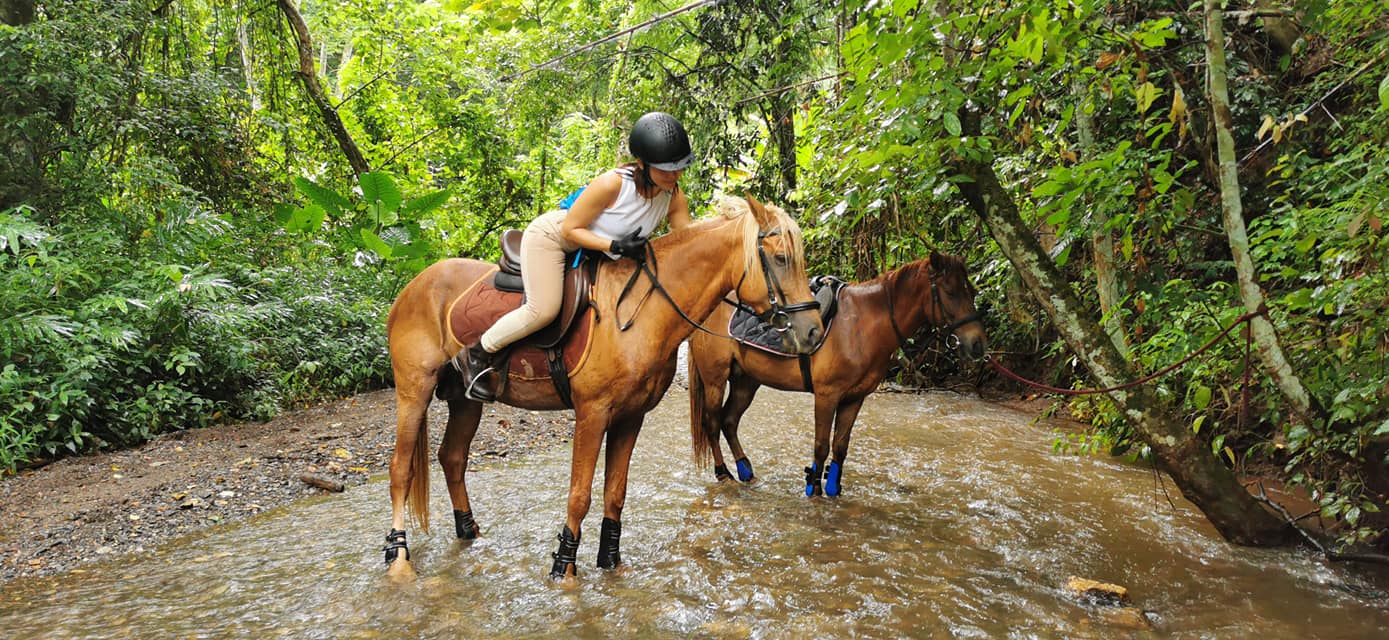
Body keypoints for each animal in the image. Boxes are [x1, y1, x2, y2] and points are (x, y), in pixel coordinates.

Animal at [383, 195, 823, 581]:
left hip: (465, 399)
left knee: (452, 457)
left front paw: (610, 563)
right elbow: (580, 495)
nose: (814, 331)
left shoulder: (630, 416)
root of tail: (412, 286)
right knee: (401, 468)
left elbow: (616, 492)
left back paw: (468, 531)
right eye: (781, 259)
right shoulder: (592, 414)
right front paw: (564, 568)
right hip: (414, 390)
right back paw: (398, 556)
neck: (641, 313)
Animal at [688, 251, 987, 497]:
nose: (977, 344)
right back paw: (724, 473)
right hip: (715, 379)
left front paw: (833, 489)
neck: (861, 326)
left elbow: (840, 447)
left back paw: (745, 471)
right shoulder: (827, 395)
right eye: (950, 292)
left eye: (971, 291)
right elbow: (821, 445)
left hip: (746, 380)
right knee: (712, 422)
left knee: (729, 421)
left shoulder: (854, 398)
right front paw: (813, 489)